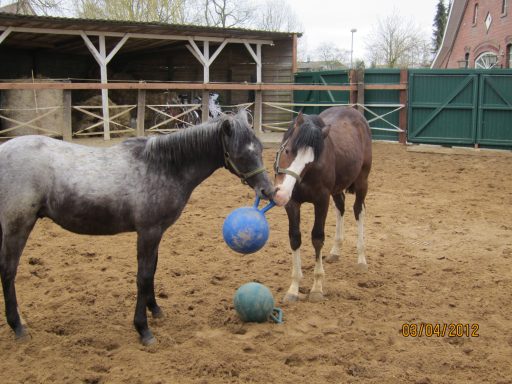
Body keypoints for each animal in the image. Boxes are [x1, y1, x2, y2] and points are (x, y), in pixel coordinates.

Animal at [0, 110, 276, 344]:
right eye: (242, 153)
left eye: (261, 149)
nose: (268, 191)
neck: (163, 166)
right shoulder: (148, 232)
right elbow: (143, 276)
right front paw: (143, 329)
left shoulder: (156, 233)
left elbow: (152, 270)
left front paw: (156, 310)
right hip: (17, 227)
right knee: (8, 271)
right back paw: (18, 327)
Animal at [274, 106, 370, 302]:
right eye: (287, 150)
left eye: (310, 161)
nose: (281, 194)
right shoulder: (292, 203)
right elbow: (295, 238)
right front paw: (293, 289)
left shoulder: (321, 201)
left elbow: (317, 238)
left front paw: (317, 288)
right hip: (338, 188)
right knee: (341, 208)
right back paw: (335, 251)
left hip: (362, 182)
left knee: (358, 211)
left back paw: (361, 259)